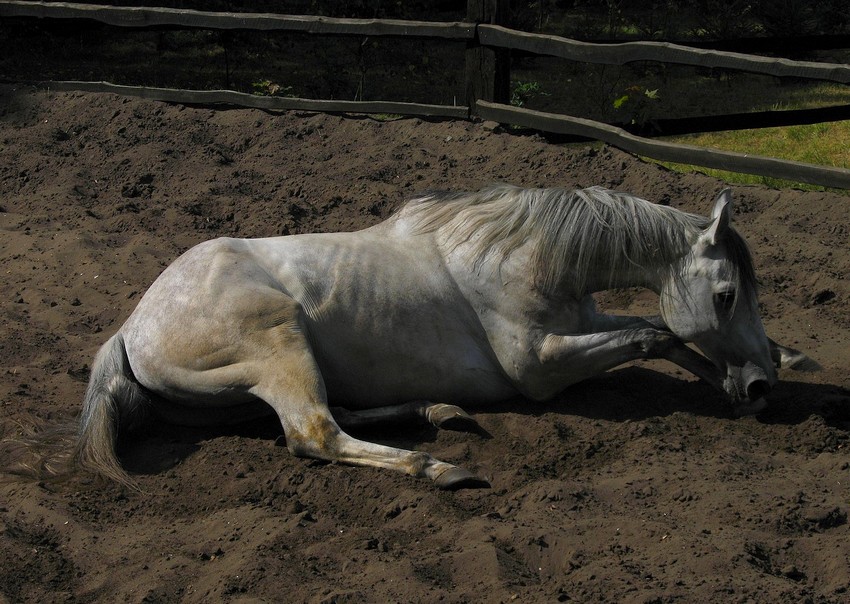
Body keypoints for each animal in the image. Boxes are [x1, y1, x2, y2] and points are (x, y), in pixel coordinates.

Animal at [73, 185, 816, 490]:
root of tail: (130, 330)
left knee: (329, 415)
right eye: (725, 295)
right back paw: (439, 468)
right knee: (314, 432)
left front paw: (766, 371)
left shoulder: (582, 325)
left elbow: (660, 335)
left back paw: (438, 412)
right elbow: (655, 336)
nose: (760, 384)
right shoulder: (538, 369)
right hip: (279, 344)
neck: (523, 254)